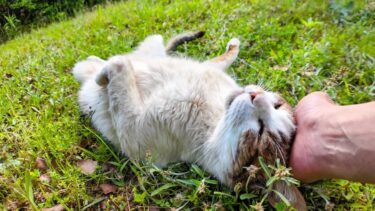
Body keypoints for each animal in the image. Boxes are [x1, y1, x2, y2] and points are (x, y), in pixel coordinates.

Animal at [72, 31, 306, 209]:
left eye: (260, 130)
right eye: (277, 105)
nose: (255, 96)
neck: (214, 112)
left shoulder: (132, 134)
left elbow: (119, 65)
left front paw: (103, 75)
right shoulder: (210, 69)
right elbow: (223, 58)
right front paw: (233, 45)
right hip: (155, 46)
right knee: (153, 46)